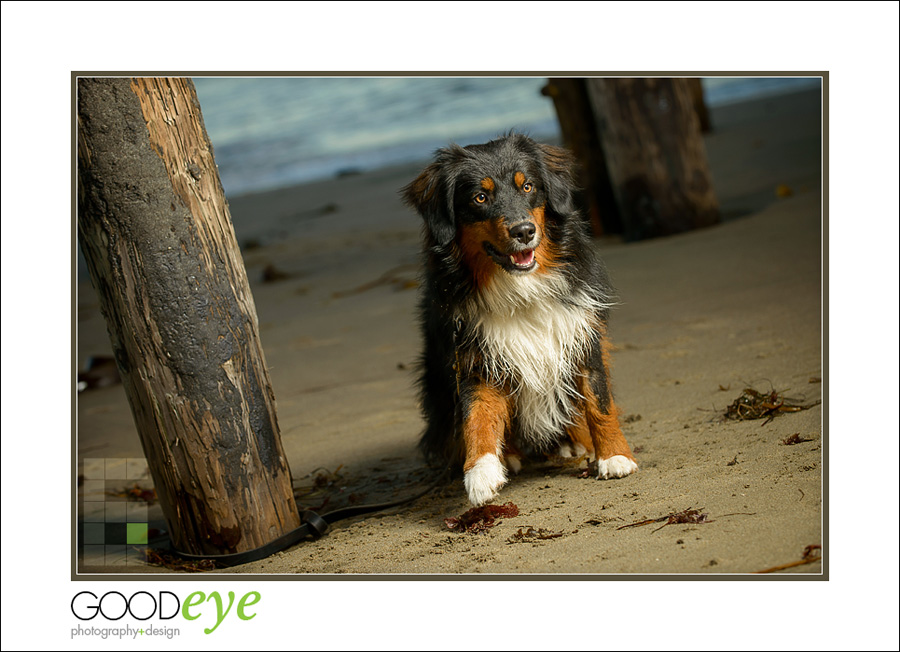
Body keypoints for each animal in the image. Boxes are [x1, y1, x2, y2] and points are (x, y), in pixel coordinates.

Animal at [404, 135, 636, 506]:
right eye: (480, 197)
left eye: (527, 186)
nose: (524, 231)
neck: (520, 289)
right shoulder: (475, 358)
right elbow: (477, 417)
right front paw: (481, 472)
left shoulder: (583, 337)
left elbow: (600, 403)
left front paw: (615, 456)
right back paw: (508, 456)